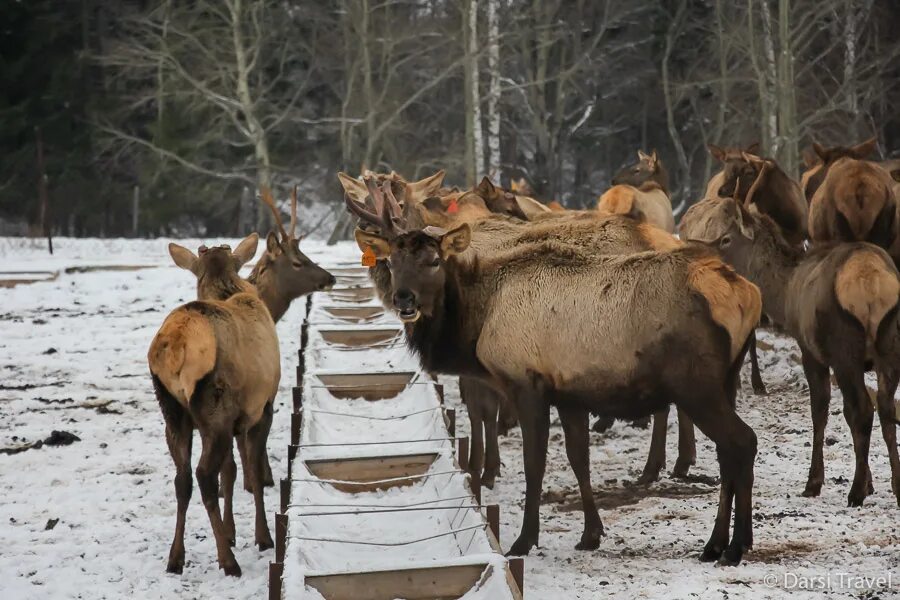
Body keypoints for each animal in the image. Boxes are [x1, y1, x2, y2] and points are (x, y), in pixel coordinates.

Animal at [148, 234, 278, 576]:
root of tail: (176, 346)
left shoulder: (235, 419)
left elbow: (230, 471)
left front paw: (232, 532)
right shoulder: (263, 407)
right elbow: (252, 473)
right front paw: (262, 537)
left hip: (172, 412)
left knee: (182, 478)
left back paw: (175, 558)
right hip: (214, 407)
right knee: (204, 475)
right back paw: (228, 561)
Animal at [350, 180, 760, 564]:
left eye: (434, 260)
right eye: (392, 261)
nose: (404, 299)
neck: (478, 318)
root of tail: (748, 294)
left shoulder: (526, 383)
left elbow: (535, 463)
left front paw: (524, 540)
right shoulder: (570, 395)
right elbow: (580, 460)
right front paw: (591, 533)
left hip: (696, 384)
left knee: (742, 441)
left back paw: (735, 545)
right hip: (725, 381)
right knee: (726, 452)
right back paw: (715, 543)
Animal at [684, 200, 900, 506]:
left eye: (726, 238)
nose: (698, 249)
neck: (784, 294)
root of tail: (873, 284)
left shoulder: (810, 350)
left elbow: (820, 411)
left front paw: (815, 483)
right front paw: (872, 483)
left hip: (844, 351)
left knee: (861, 410)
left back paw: (855, 491)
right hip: (890, 344)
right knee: (885, 408)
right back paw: (896, 483)